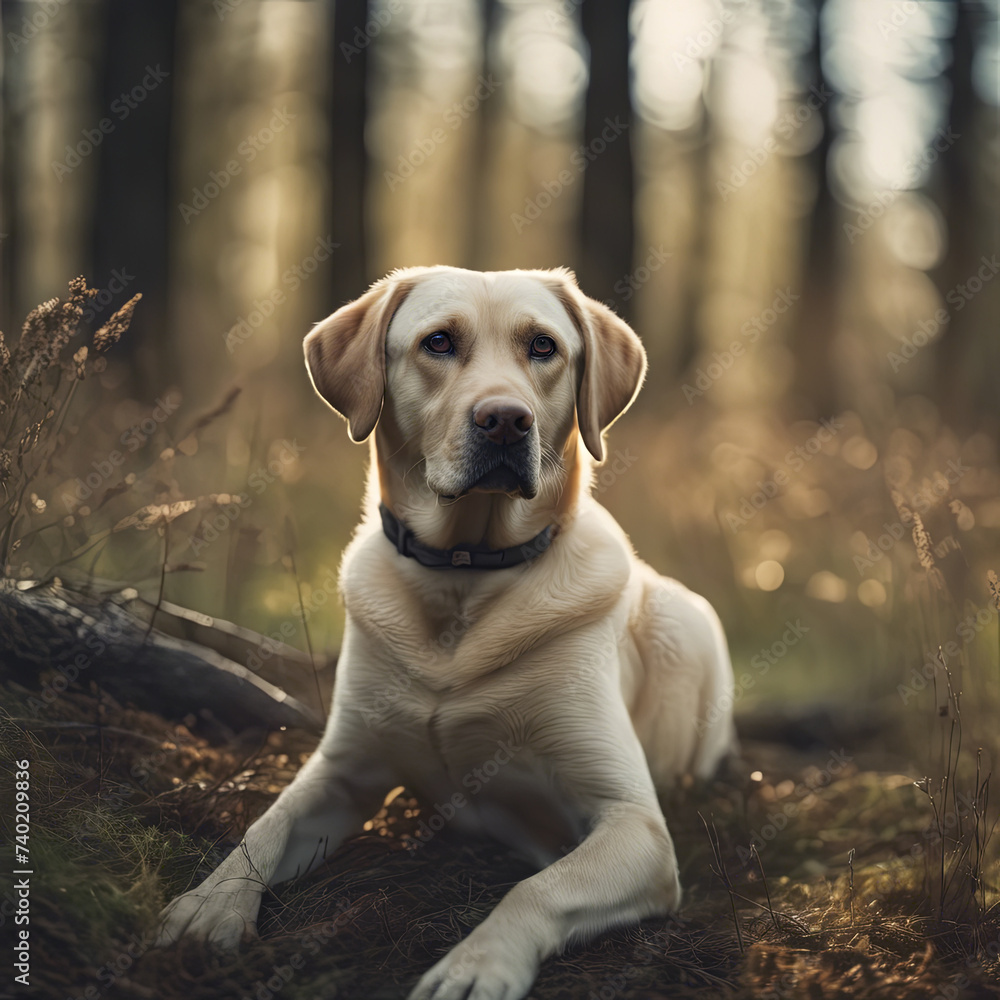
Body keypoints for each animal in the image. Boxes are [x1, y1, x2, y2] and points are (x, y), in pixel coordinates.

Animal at [156, 266, 736, 1000]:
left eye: (543, 346)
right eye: (438, 342)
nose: (505, 419)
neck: (464, 576)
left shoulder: (636, 824)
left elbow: (538, 887)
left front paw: (476, 964)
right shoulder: (342, 769)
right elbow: (267, 824)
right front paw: (211, 903)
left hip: (688, 623)